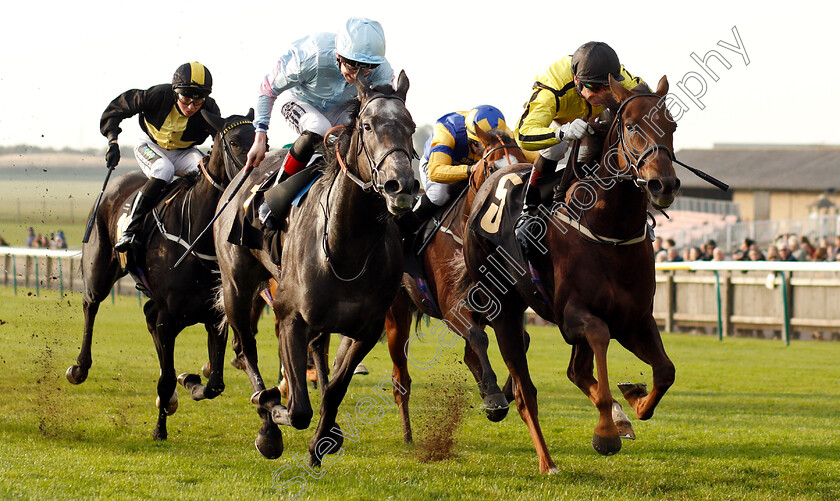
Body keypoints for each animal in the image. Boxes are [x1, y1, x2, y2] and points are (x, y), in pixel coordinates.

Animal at [66, 110, 253, 442]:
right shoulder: (169, 317)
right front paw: (159, 430)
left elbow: (214, 383)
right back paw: (79, 368)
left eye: (259, 137)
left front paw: (190, 381)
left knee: (146, 316)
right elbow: (166, 379)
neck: (196, 237)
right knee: (91, 304)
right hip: (100, 268)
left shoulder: (214, 315)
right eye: (234, 141)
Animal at [213, 72, 416, 462]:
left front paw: (322, 440)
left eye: (411, 126)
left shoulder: (366, 330)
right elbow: (297, 409)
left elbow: (335, 390)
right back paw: (266, 418)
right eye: (367, 125)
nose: (402, 185)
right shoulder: (290, 317)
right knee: (245, 348)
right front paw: (274, 413)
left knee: (316, 353)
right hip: (237, 286)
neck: (346, 246)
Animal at [384, 127, 528, 444]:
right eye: (492, 168)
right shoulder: (452, 309)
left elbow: (519, 340)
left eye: (524, 165)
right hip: (396, 316)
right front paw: (494, 397)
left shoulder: (499, 307)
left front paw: (505, 392)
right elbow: (478, 337)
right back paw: (407, 434)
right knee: (401, 378)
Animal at [462, 75, 680, 472]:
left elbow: (665, 371)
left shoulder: (635, 319)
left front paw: (633, 401)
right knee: (525, 391)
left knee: (575, 372)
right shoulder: (572, 315)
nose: (664, 185)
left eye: (671, 126)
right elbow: (598, 335)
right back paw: (546, 460)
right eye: (630, 126)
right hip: (503, 309)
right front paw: (605, 433)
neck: (610, 230)